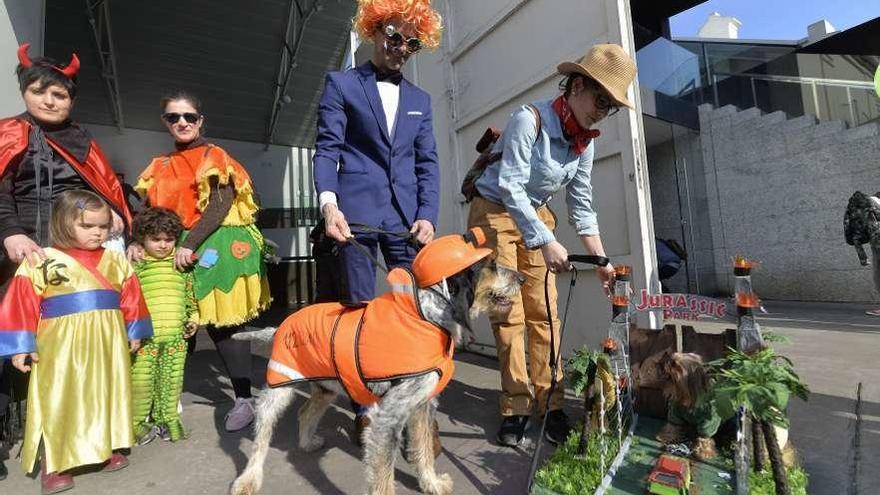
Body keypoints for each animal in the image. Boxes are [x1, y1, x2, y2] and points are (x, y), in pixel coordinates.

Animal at [230, 262, 524, 494]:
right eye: (492, 265)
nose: (522, 278)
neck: (430, 317)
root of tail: (280, 326)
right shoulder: (386, 419)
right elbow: (383, 478)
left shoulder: (422, 406)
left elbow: (424, 451)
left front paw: (432, 484)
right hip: (279, 386)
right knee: (261, 436)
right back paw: (248, 480)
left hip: (326, 387)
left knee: (305, 412)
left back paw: (306, 442)